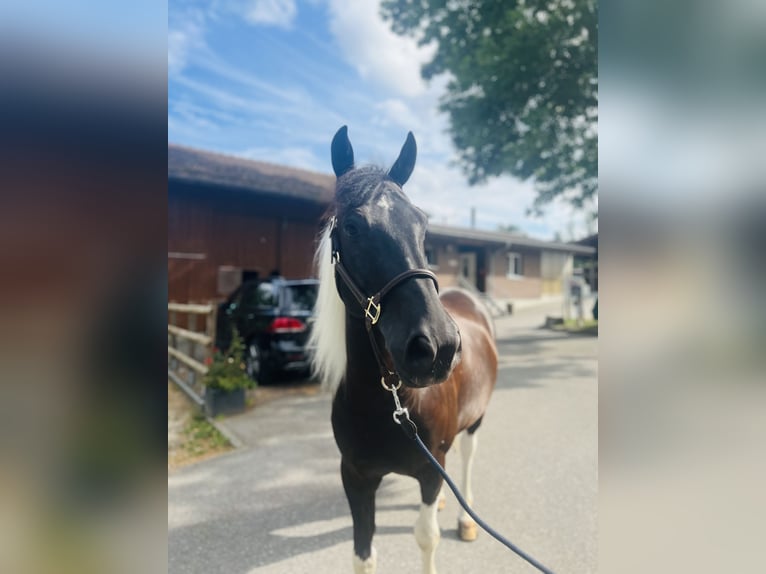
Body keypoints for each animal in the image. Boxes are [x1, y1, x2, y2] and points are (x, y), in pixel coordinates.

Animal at [308, 127, 500, 574]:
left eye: (423, 224)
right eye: (353, 226)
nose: (437, 346)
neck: (392, 404)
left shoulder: (429, 473)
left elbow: (426, 537)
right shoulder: (356, 478)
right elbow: (363, 552)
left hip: (476, 420)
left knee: (467, 456)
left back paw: (466, 519)